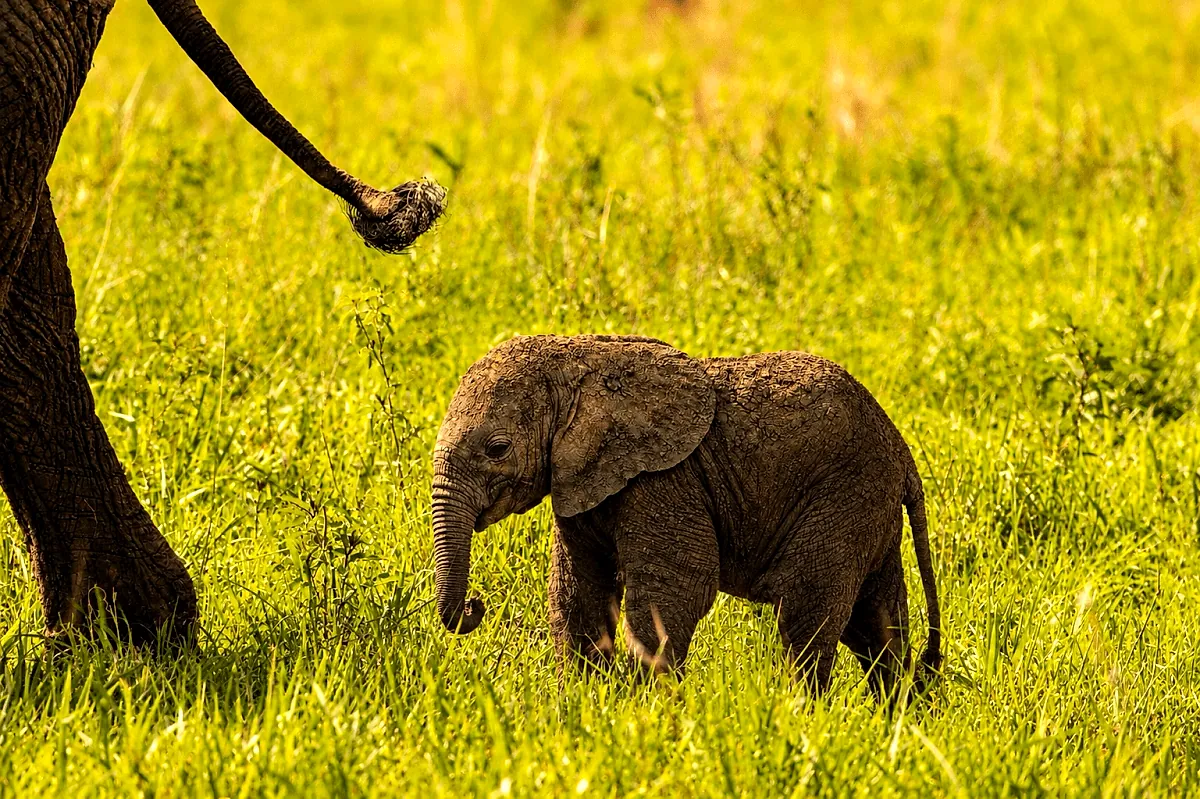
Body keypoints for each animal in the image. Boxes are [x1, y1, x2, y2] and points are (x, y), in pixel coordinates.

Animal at [431, 335, 942, 697]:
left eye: (497, 449)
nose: (476, 605)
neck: (579, 359)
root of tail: (901, 450)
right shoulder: (578, 479)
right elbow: (578, 594)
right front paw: (581, 710)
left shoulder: (666, 480)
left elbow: (675, 588)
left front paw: (643, 711)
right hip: (867, 506)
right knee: (876, 624)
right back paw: (897, 719)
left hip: (845, 495)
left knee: (806, 613)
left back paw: (800, 714)